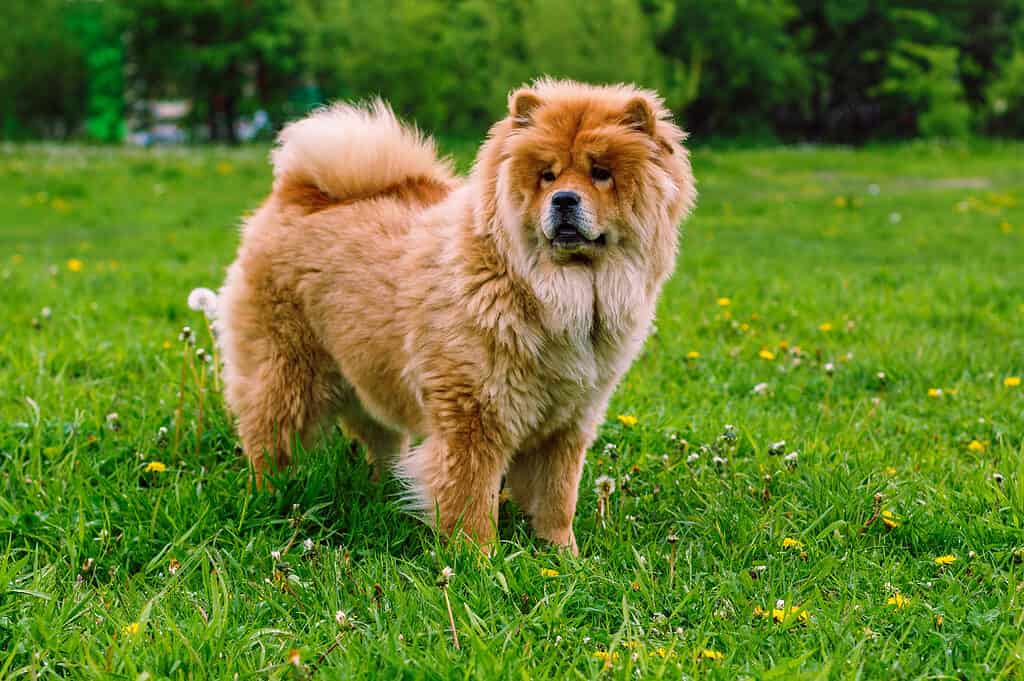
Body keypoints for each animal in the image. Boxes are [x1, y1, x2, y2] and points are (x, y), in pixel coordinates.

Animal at [216, 78, 696, 552]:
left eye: (601, 173)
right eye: (547, 175)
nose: (563, 199)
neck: (555, 293)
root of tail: (296, 192)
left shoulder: (568, 421)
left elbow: (558, 499)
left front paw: (563, 555)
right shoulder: (474, 415)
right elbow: (472, 499)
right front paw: (480, 559)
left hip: (367, 374)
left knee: (378, 439)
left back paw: (382, 490)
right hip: (287, 368)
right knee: (267, 436)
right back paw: (270, 496)